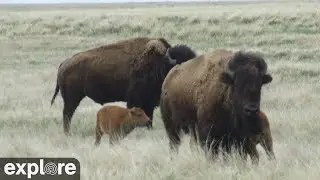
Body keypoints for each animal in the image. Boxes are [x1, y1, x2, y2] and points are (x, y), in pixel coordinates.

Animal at [50, 36, 196, 135]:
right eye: (182, 63)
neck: (160, 63)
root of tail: (63, 64)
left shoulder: (149, 102)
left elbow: (149, 116)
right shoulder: (136, 100)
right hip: (72, 99)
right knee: (67, 114)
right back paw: (68, 133)